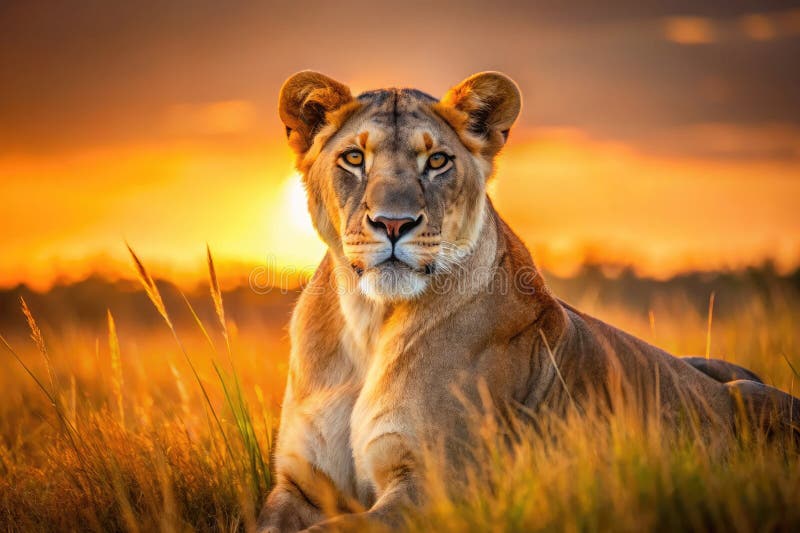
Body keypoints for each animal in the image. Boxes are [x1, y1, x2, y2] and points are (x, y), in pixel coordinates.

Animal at [258, 71, 799, 533]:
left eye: (437, 161)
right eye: (354, 158)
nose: (394, 223)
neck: (369, 322)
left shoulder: (434, 488)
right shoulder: (300, 484)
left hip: (754, 399)